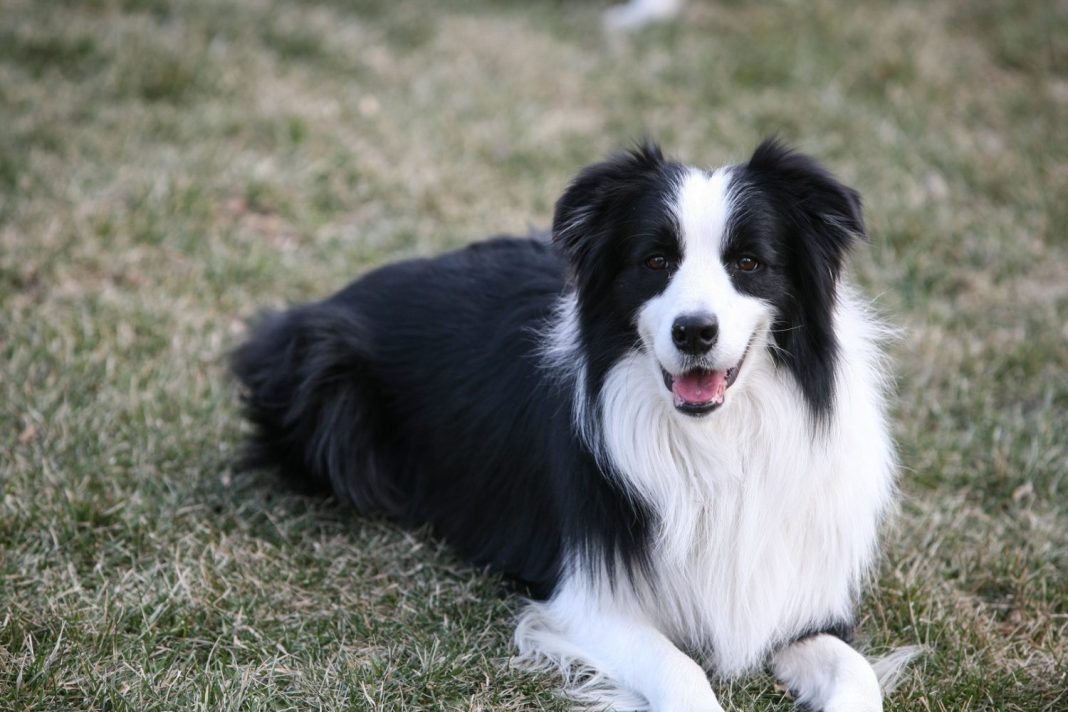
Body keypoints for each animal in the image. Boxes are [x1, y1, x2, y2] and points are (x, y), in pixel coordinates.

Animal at [229, 140, 905, 712]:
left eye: (748, 262)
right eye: (655, 260)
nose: (694, 332)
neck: (718, 438)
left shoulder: (796, 600)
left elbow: (856, 672)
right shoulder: (586, 601)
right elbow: (682, 670)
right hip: (326, 383)